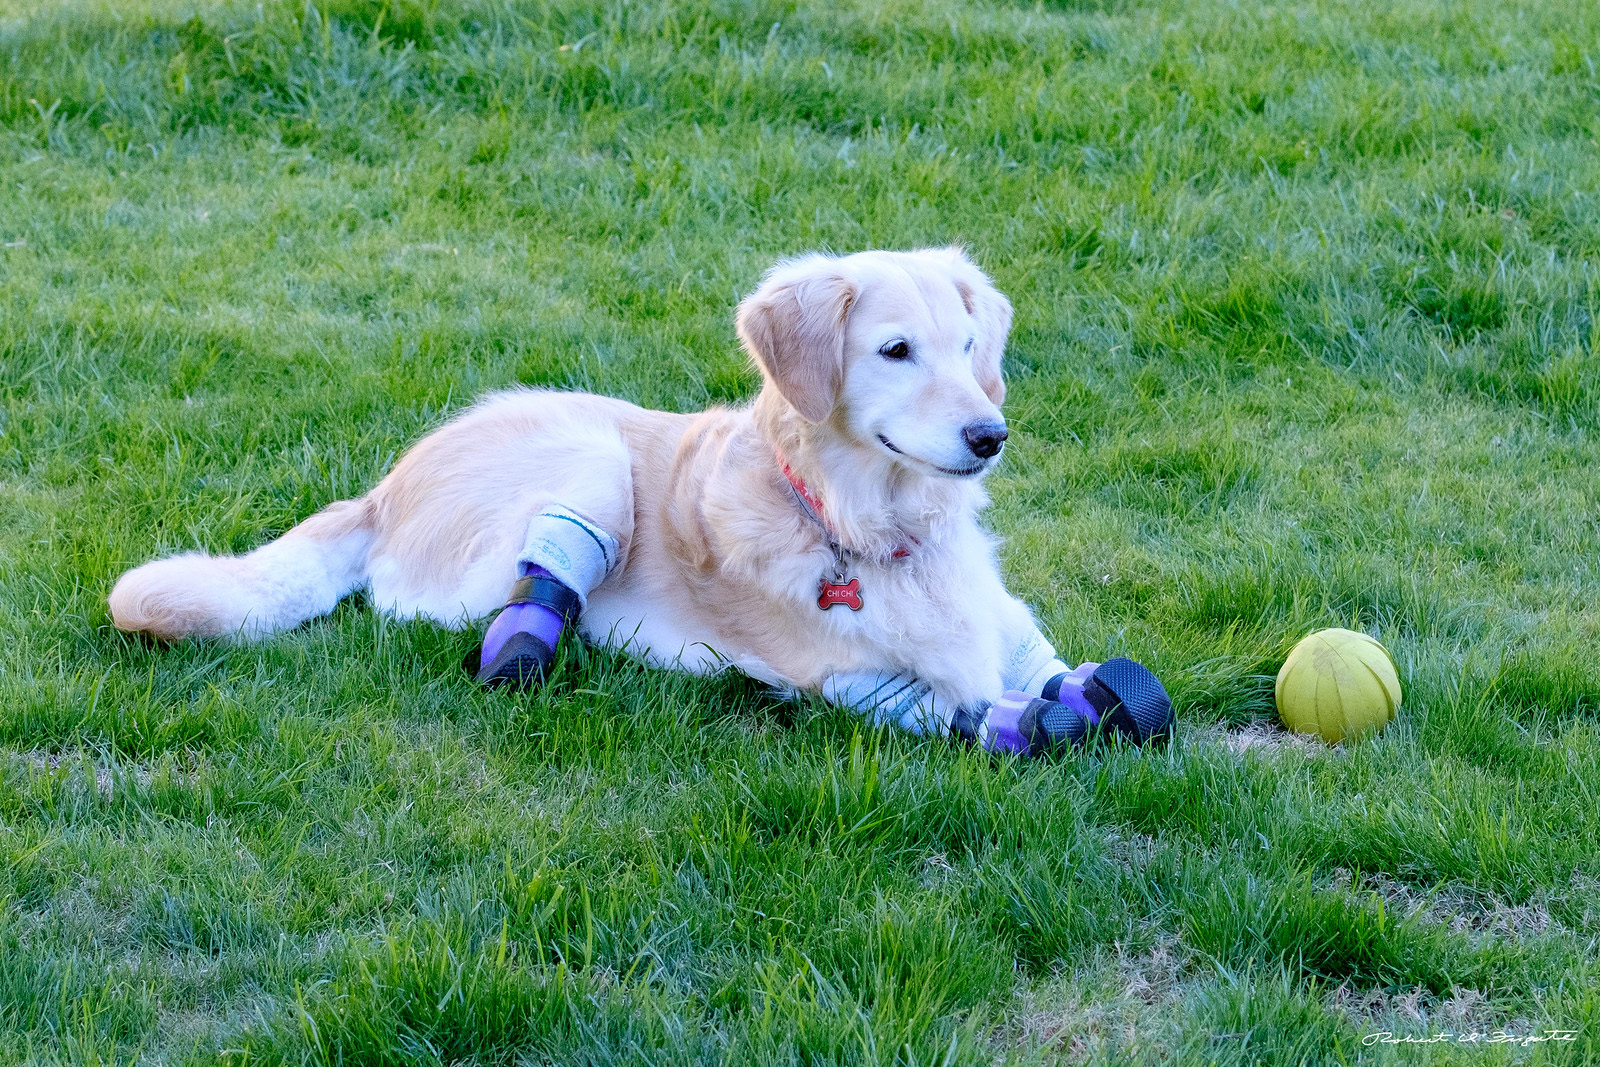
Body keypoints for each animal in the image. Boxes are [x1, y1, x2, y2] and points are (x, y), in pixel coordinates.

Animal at [112, 251, 1145, 751]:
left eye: (971, 347)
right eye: (896, 351)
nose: (990, 434)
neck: (859, 521)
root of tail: (386, 484)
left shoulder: (998, 613)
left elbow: (1048, 659)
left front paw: (1103, 691)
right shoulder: (838, 678)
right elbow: (954, 702)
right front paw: (1033, 721)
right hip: (590, 458)